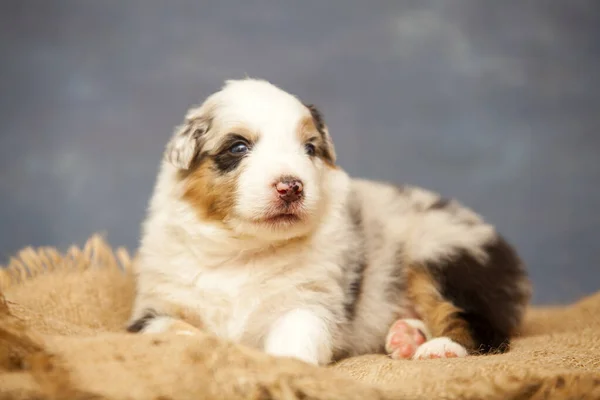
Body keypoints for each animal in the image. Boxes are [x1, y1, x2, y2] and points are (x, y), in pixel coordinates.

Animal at [126, 78, 528, 366]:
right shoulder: (155, 305)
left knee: (479, 324)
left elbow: (294, 339)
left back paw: (439, 348)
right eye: (238, 147)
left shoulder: (310, 303)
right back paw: (406, 336)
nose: (291, 186)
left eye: (310, 149)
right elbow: (167, 331)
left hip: (443, 255)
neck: (244, 251)